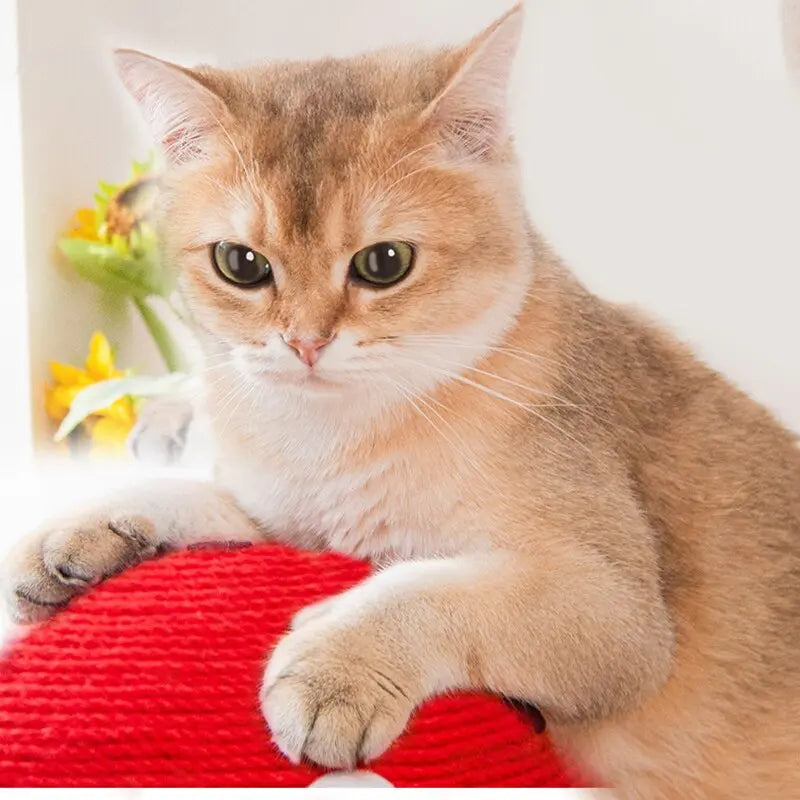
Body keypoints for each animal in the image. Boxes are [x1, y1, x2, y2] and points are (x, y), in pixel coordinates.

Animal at [3, 7, 796, 800]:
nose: (306, 343)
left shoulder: (615, 614)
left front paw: (335, 666)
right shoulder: (292, 525)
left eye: (385, 264)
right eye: (241, 264)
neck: (329, 441)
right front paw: (85, 528)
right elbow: (196, 498)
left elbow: (428, 589)